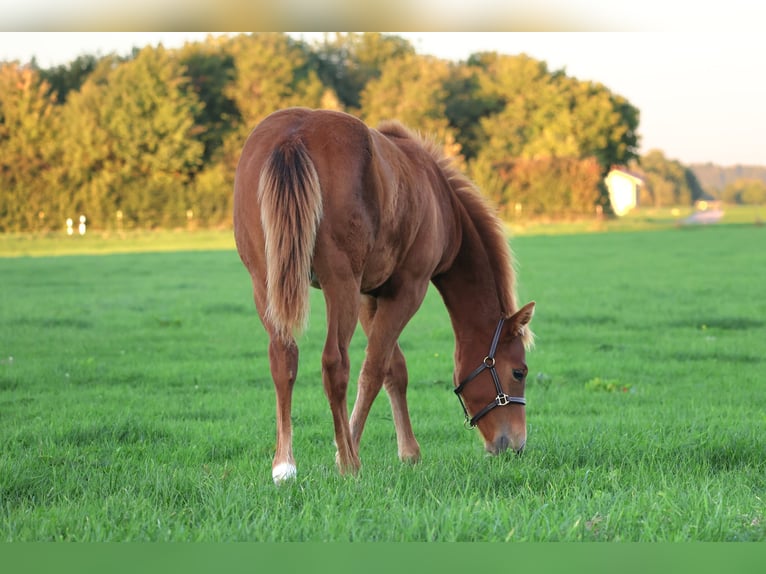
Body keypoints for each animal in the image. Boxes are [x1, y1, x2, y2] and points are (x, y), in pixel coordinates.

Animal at [233, 108, 535, 484]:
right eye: (519, 372)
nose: (516, 444)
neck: (441, 200)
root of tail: (294, 135)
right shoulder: (407, 290)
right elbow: (375, 369)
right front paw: (346, 450)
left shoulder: (369, 295)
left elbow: (395, 368)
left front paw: (407, 451)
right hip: (340, 284)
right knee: (335, 364)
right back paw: (350, 464)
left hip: (267, 283)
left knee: (283, 358)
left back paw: (283, 465)